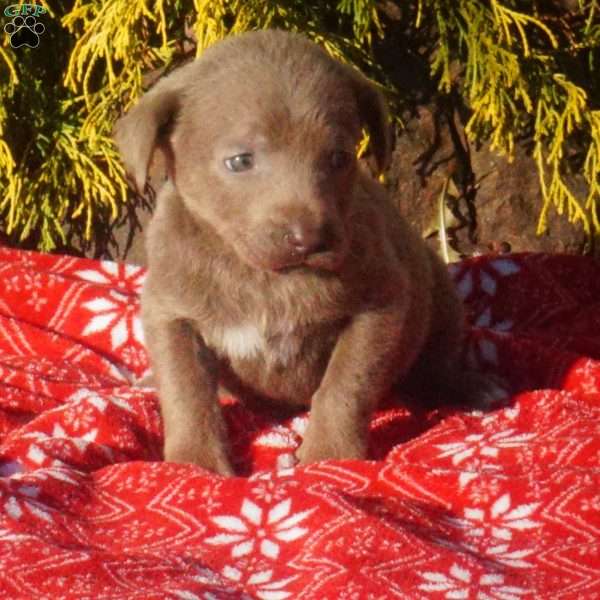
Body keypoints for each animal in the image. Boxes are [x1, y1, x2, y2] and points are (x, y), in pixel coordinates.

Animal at [113, 30, 468, 476]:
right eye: (240, 161)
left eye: (339, 157)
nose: (309, 238)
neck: (264, 277)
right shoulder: (171, 314)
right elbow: (187, 392)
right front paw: (196, 464)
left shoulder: (381, 306)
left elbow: (345, 385)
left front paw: (329, 454)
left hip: (441, 297)